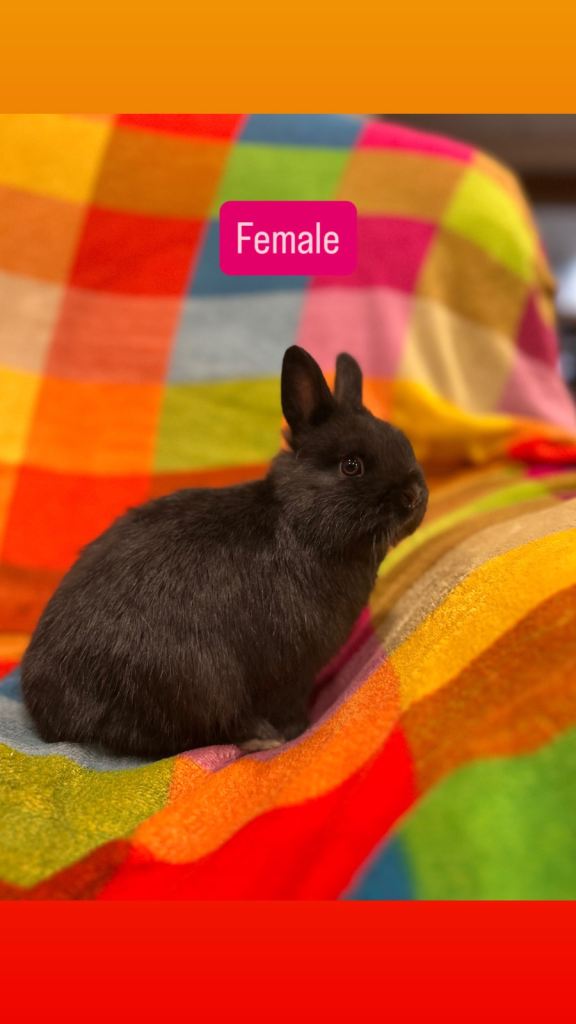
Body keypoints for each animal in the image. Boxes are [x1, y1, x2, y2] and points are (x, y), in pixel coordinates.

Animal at [21, 346, 428, 759]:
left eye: (403, 443)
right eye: (351, 466)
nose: (413, 496)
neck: (298, 524)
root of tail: (47, 710)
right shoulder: (290, 673)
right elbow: (287, 704)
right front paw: (298, 729)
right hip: (196, 682)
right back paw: (261, 736)